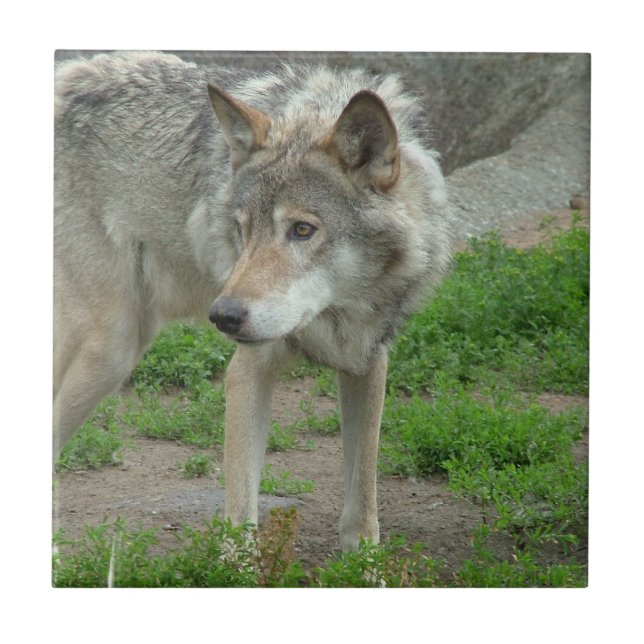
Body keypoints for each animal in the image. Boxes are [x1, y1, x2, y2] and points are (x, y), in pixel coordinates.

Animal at [54, 52, 451, 552]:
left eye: (302, 229)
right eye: (240, 229)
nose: (223, 316)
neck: (337, 314)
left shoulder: (368, 359)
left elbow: (363, 497)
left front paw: (365, 563)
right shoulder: (248, 370)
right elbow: (242, 513)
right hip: (110, 352)